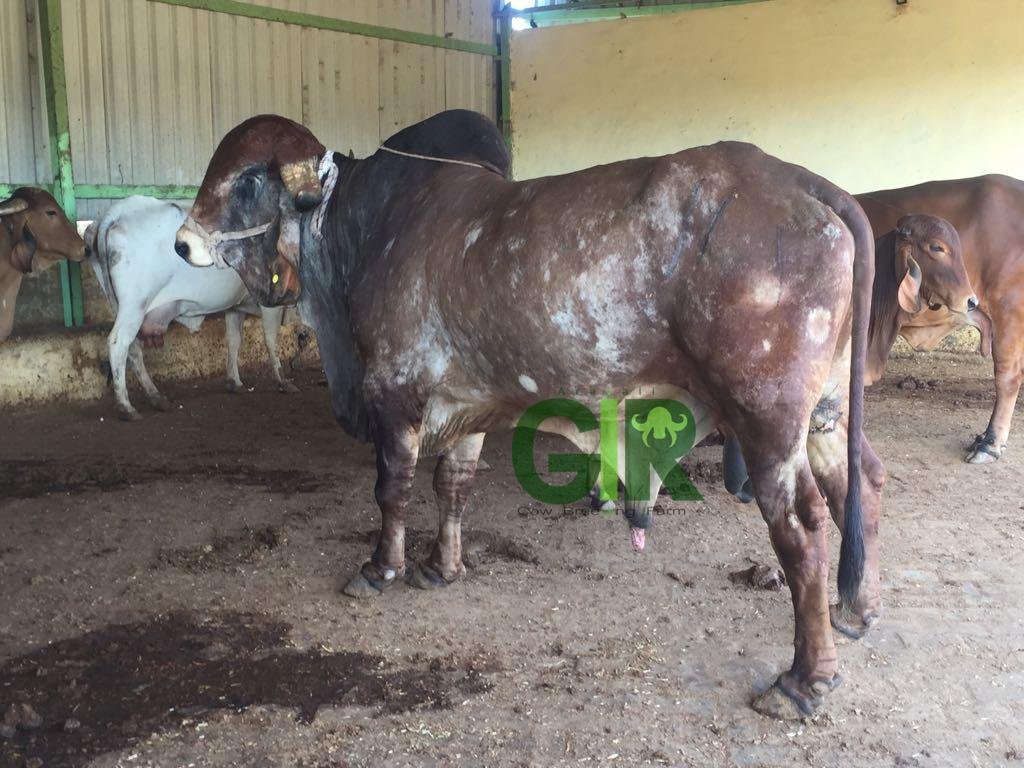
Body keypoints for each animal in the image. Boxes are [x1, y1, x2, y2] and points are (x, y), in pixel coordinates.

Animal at [85, 196, 300, 421]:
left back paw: (155, 397)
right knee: (118, 343)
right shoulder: (272, 299)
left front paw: (234, 381)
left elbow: (234, 340)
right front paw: (282, 381)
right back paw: (126, 406)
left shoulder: (235, 305)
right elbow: (271, 340)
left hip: (121, 307)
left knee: (133, 349)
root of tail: (117, 212)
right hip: (134, 306)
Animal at [174, 110, 882, 719]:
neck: (368, 224)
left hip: (767, 418)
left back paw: (804, 680)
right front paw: (441, 567)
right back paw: (860, 609)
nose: (182, 243)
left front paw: (382, 569)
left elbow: (391, 488)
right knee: (861, 484)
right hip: (824, 411)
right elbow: (451, 485)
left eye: (248, 179)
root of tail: (804, 182)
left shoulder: (395, 392)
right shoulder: (464, 406)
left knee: (804, 526)